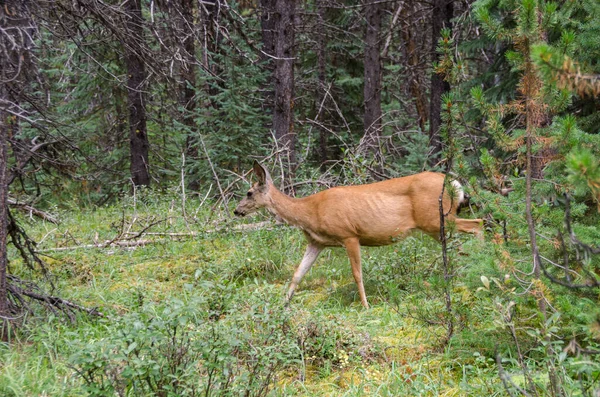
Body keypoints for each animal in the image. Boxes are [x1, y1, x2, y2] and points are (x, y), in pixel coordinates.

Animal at [234, 160, 482, 306]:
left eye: (248, 193)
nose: (237, 211)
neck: (311, 211)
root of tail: (455, 184)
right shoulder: (317, 242)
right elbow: (298, 274)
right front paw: (282, 304)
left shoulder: (349, 234)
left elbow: (357, 274)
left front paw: (365, 305)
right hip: (439, 224)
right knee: (464, 239)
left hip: (436, 219)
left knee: (477, 225)